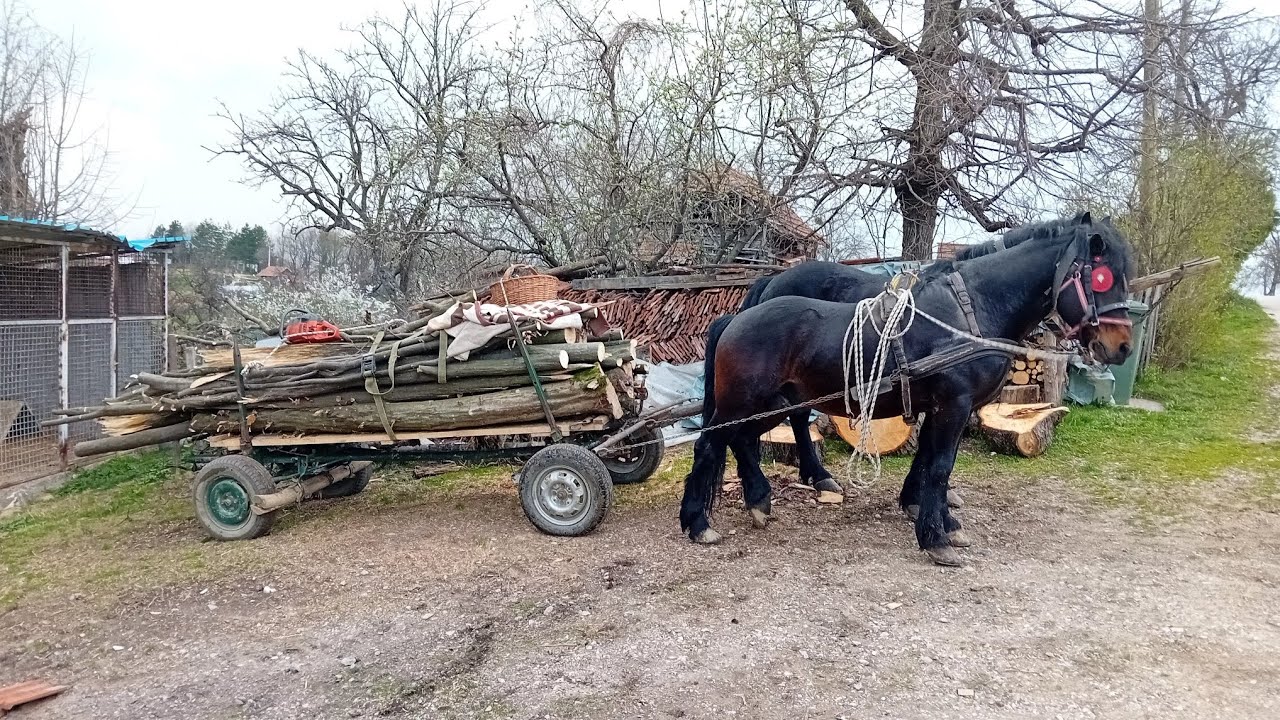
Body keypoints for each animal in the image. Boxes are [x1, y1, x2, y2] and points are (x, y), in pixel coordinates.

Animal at [681, 213, 1136, 566]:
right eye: (1102, 277)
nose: (1121, 347)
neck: (971, 312)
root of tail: (736, 318)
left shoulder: (943, 407)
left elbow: (931, 461)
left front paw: (937, 519)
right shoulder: (953, 404)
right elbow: (939, 467)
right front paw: (936, 538)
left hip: (769, 403)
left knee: (742, 440)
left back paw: (760, 500)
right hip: (744, 402)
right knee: (711, 445)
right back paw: (699, 523)